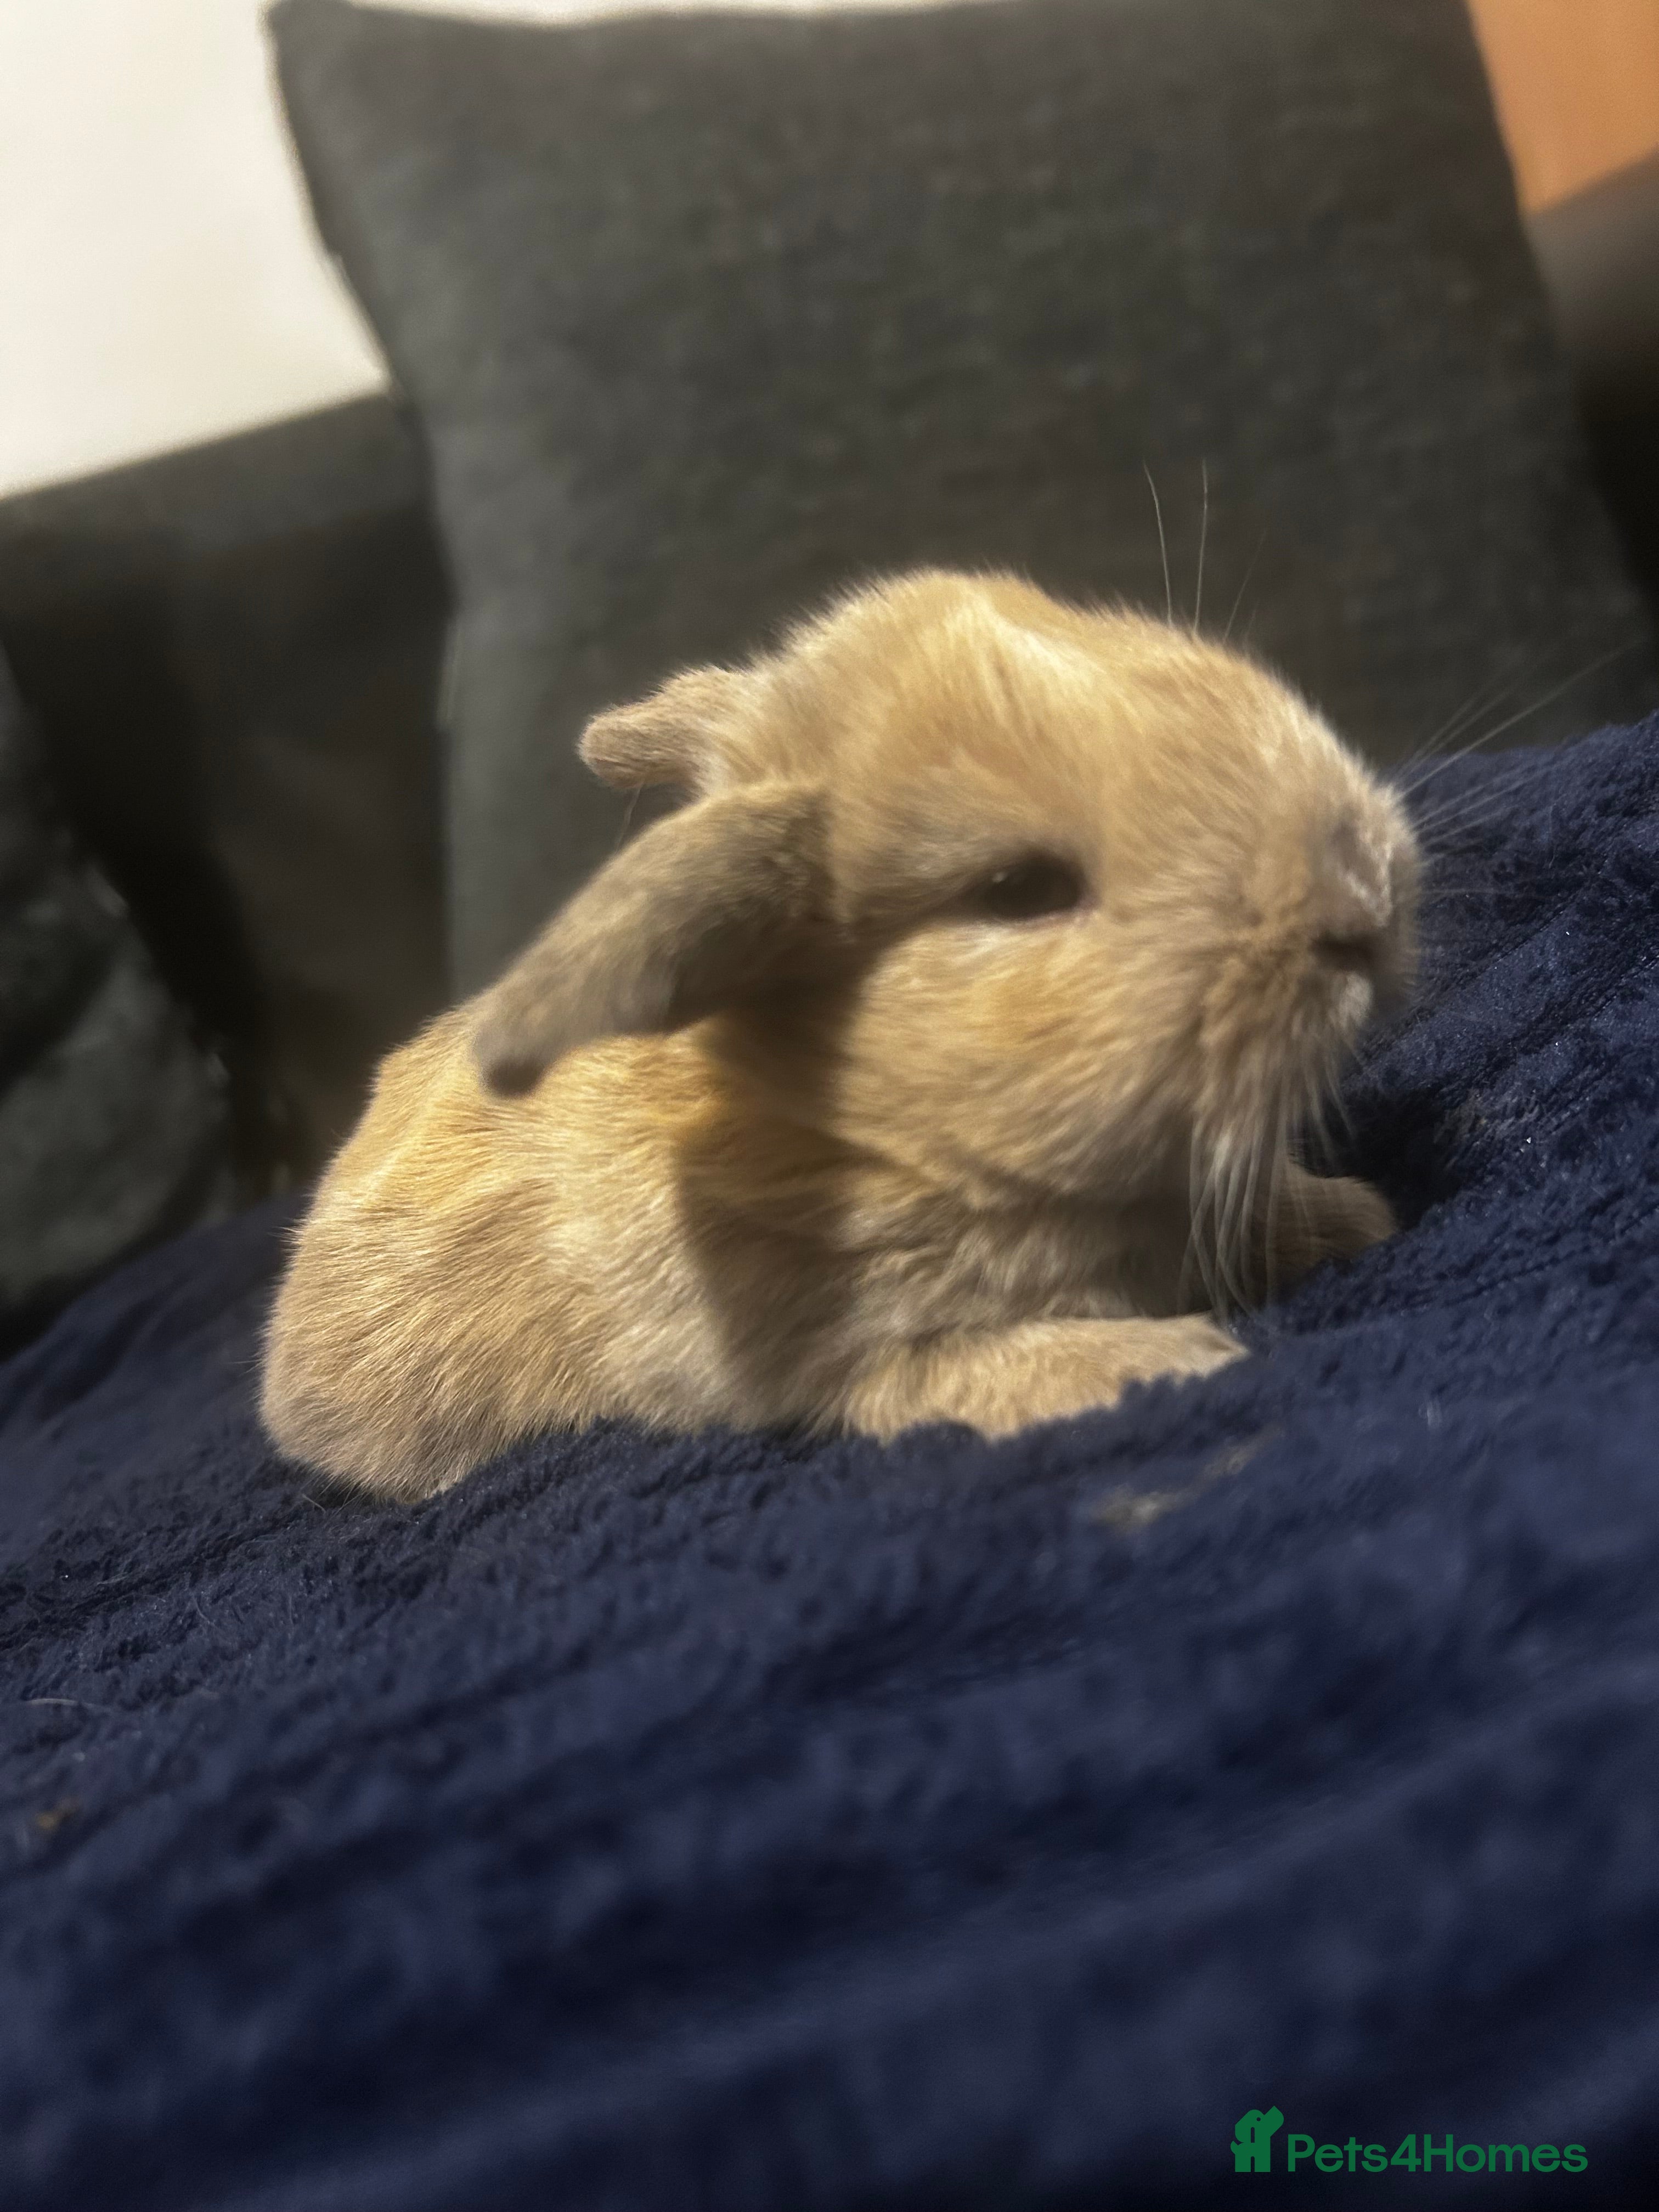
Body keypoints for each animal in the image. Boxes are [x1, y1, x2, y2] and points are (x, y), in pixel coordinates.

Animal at [260, 568, 1419, 1499]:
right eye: (1017, 889)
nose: (1365, 883)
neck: (865, 1133)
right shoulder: (856, 1358)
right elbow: (981, 1375)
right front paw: (1174, 1362)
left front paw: (1354, 1214)